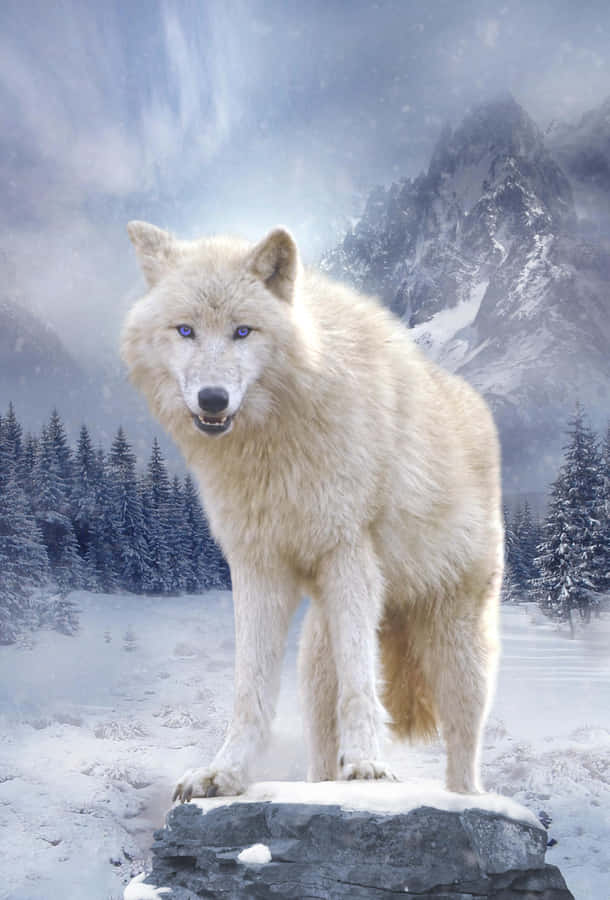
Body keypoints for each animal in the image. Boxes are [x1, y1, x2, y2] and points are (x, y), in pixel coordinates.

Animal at [121, 222, 503, 801]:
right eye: (185, 330)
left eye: (243, 332)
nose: (213, 399)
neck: (274, 443)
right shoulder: (256, 568)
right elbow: (249, 692)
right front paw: (224, 774)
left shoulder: (348, 555)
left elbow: (362, 688)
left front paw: (367, 765)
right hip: (315, 658)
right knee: (320, 747)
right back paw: (322, 782)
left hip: (458, 649)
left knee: (463, 751)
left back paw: (464, 796)